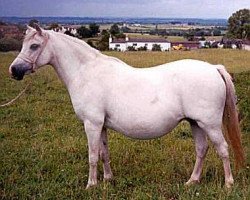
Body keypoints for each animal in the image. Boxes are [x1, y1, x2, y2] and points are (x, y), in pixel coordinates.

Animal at [8, 25, 243, 189]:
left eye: (34, 46)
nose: (14, 70)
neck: (86, 72)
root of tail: (213, 68)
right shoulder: (101, 125)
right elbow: (104, 153)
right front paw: (107, 180)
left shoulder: (91, 124)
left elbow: (92, 155)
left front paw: (91, 185)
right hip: (195, 123)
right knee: (201, 149)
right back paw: (192, 181)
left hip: (209, 124)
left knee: (223, 149)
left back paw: (229, 183)